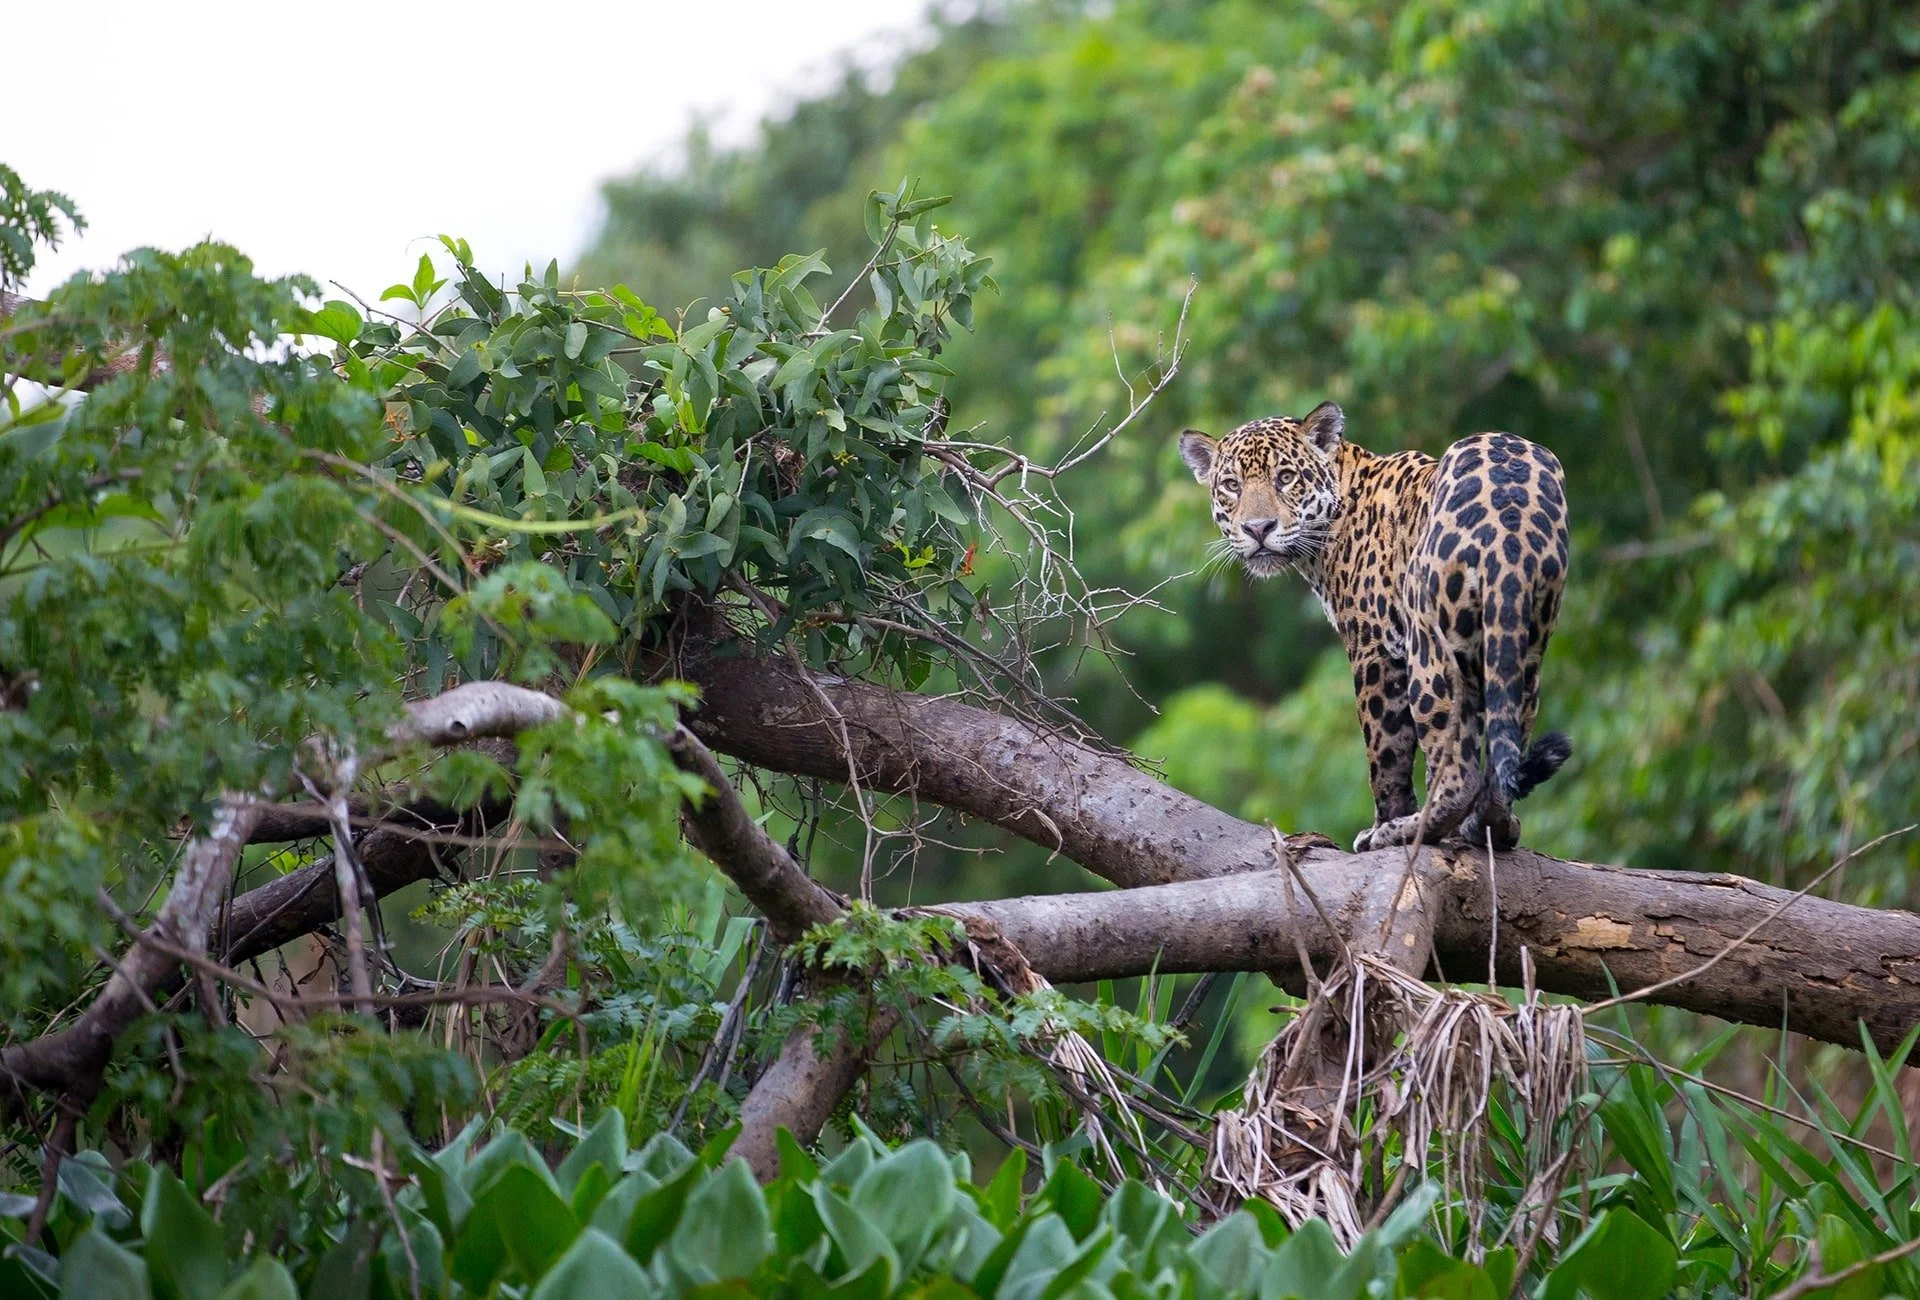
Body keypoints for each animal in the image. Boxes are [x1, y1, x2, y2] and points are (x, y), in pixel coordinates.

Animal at [1178, 402, 1571, 853]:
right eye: (1231, 485)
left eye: (1286, 477)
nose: (1258, 528)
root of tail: (1511, 520)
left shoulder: (1375, 649)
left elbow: (1385, 752)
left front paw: (1384, 821)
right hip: (1524, 644)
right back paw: (1491, 825)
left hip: (1430, 647)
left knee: (1457, 771)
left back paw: (1408, 830)